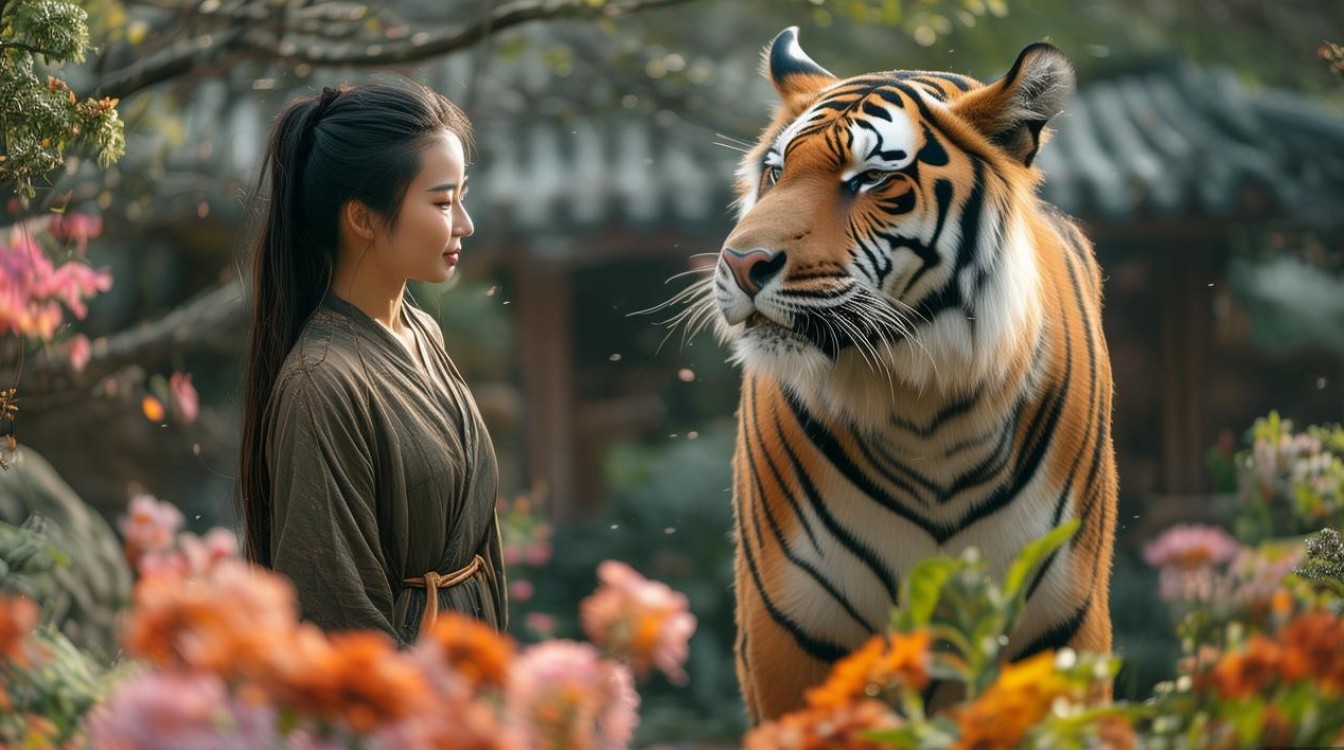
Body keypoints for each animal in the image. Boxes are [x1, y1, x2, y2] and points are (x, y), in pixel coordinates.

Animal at [702, 28, 1118, 722]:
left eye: (871, 178)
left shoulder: (1062, 623)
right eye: (775, 172)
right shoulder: (789, 629)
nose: (739, 263)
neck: (923, 400)